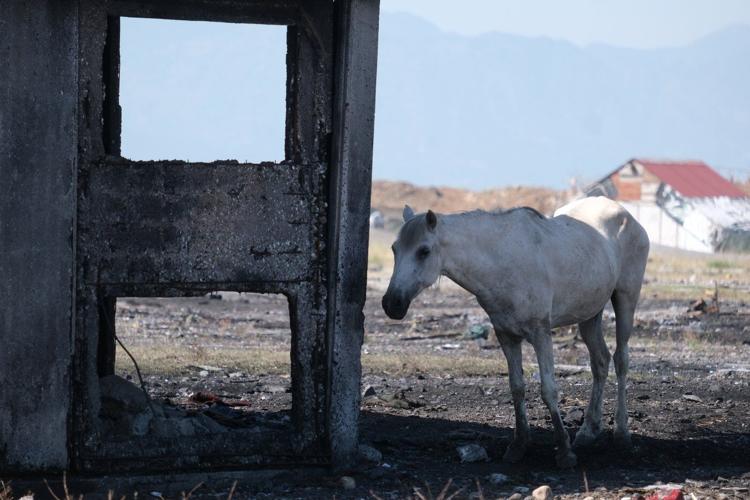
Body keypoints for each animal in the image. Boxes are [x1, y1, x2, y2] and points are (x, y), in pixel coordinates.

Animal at [381, 196, 649, 468]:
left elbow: (549, 390)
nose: (392, 304)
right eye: (394, 249)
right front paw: (518, 445)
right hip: (589, 314)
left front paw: (564, 452)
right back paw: (587, 432)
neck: (503, 261)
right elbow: (517, 387)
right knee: (600, 362)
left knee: (620, 361)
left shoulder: (541, 334)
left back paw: (622, 434)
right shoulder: (506, 336)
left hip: (625, 300)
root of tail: (624, 213)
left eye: (423, 251)